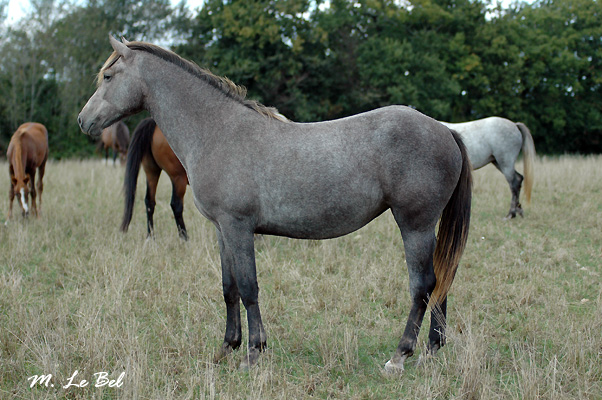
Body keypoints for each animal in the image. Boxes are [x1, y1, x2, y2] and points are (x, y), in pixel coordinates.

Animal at [77, 36, 468, 374]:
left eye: (108, 76)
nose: (83, 120)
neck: (218, 131)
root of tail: (446, 130)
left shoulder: (238, 227)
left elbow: (249, 288)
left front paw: (253, 352)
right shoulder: (222, 229)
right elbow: (229, 288)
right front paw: (227, 347)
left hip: (414, 225)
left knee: (422, 286)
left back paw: (400, 356)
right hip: (425, 229)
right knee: (441, 280)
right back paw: (432, 350)